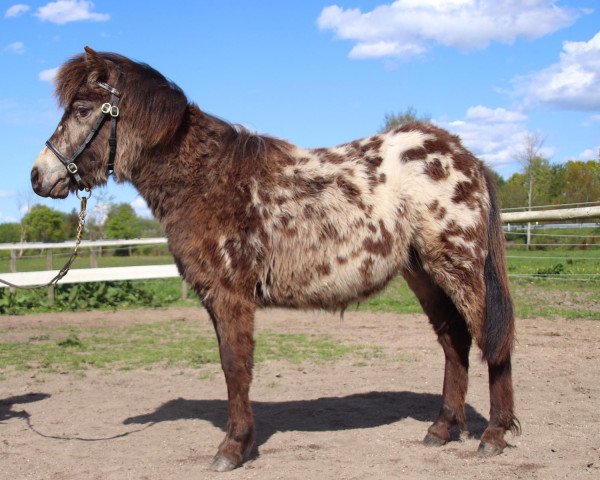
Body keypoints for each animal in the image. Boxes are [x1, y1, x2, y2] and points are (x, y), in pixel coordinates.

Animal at [30, 48, 516, 472]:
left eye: (82, 109)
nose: (38, 176)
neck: (205, 178)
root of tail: (463, 155)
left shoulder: (230, 296)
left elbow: (235, 366)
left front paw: (233, 448)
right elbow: (232, 365)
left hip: (459, 268)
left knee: (493, 340)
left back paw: (494, 435)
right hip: (424, 275)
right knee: (454, 342)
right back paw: (442, 429)